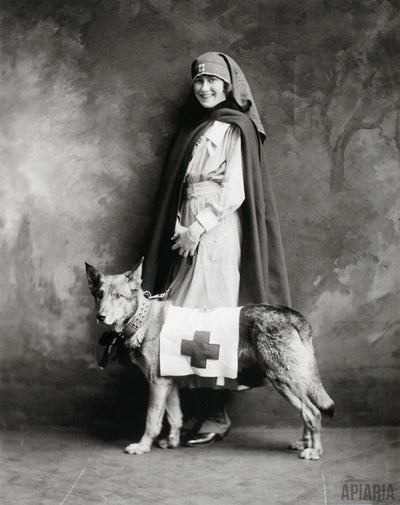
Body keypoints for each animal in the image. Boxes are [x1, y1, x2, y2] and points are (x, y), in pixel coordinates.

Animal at [85, 258, 334, 458]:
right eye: (99, 295)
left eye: (118, 296)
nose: (100, 316)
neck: (142, 316)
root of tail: (290, 314)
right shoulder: (169, 382)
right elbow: (175, 416)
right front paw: (173, 441)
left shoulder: (158, 382)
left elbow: (152, 419)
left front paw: (143, 445)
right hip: (293, 381)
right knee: (306, 411)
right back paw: (304, 442)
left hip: (283, 379)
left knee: (312, 413)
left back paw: (315, 450)